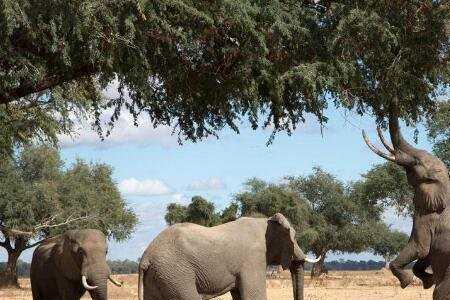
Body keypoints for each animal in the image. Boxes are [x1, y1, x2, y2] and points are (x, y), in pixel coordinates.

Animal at [137, 213, 316, 300]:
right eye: (294, 237)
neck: (266, 221)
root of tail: (145, 258)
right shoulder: (253, 258)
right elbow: (254, 295)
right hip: (175, 274)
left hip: (159, 275)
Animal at [362, 114, 450, 298]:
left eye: (416, 162)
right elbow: (424, 255)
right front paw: (427, 281)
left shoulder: (427, 216)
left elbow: (420, 248)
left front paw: (407, 282)